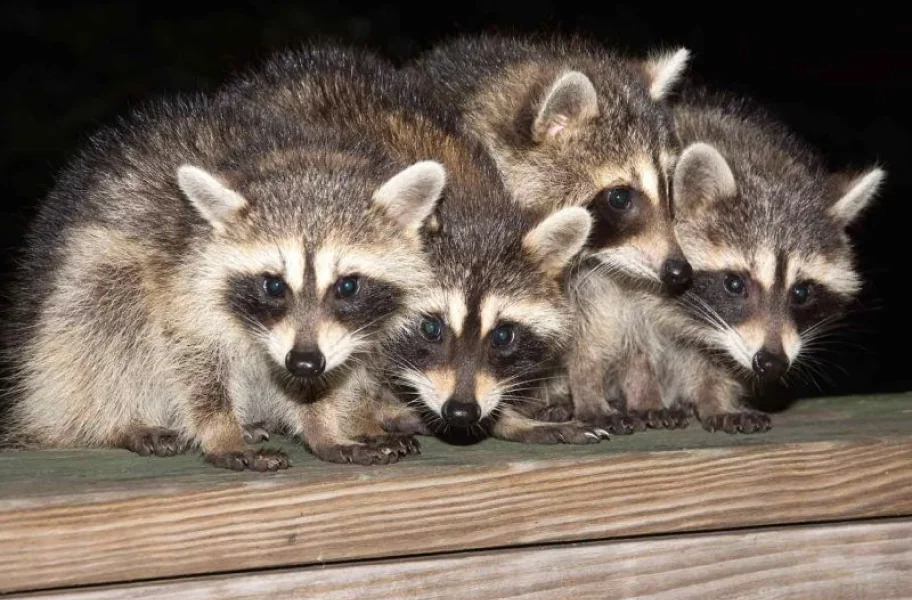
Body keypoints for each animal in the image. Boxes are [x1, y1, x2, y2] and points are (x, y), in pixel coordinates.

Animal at [1, 92, 444, 469]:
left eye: (347, 286)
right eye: (273, 285)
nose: (303, 361)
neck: (296, 161)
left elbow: (329, 378)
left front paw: (326, 424)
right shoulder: (182, 279)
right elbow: (192, 359)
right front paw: (221, 432)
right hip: (86, 284)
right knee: (107, 314)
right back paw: (118, 421)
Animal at [223, 45, 606, 444]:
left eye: (503, 335)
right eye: (431, 328)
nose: (461, 411)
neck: (466, 207)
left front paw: (508, 418)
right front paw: (369, 416)